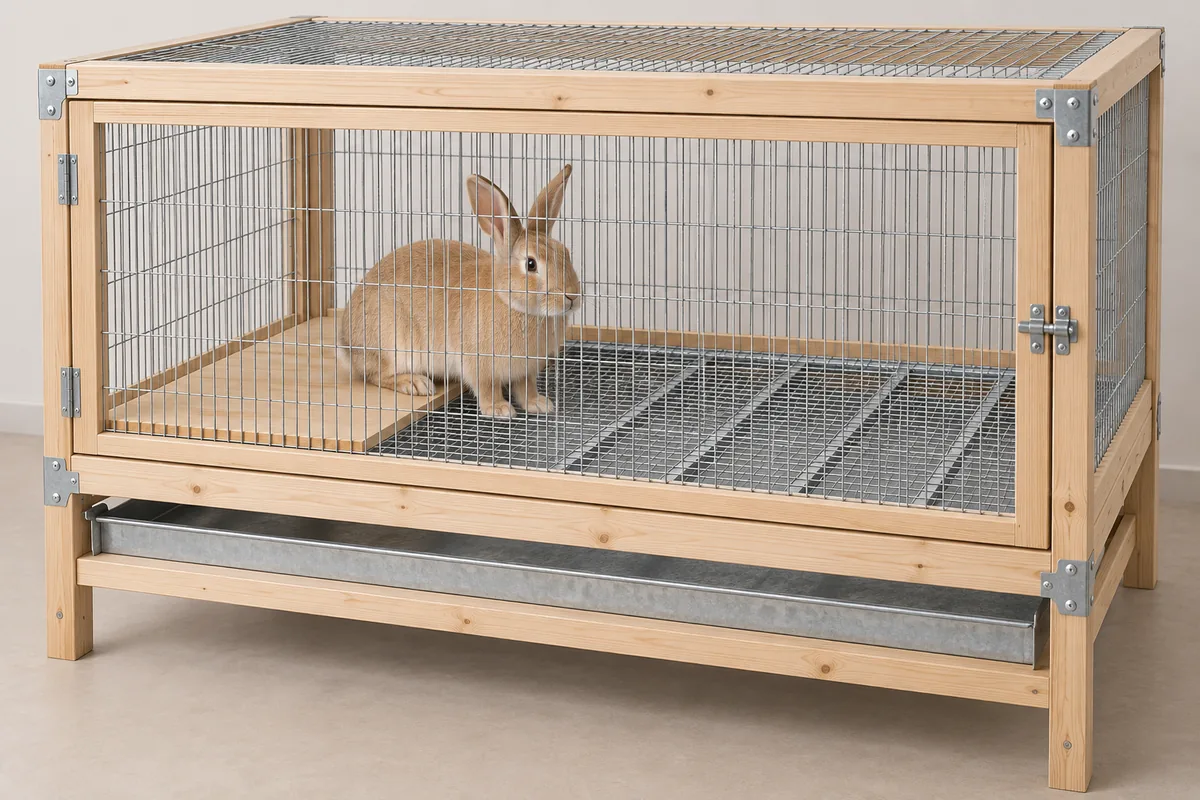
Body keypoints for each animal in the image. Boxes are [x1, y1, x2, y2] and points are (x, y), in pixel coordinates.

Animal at [337, 165, 580, 419]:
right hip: (392, 344)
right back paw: (415, 383)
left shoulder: (526, 370)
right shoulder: (478, 364)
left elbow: (526, 387)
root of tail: (346, 342)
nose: (572, 296)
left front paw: (540, 404)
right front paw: (499, 409)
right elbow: (487, 387)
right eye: (531, 264)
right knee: (376, 375)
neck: (509, 301)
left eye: (565, 253)